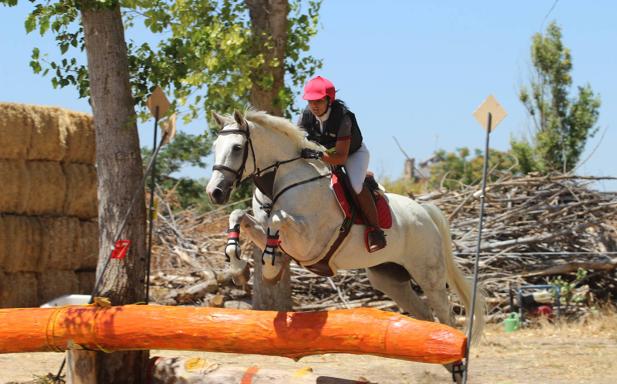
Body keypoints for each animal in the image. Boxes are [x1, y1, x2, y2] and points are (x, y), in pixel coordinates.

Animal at [205, 109, 484, 380]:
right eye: (215, 146)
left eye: (237, 147)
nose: (214, 193)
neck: (280, 181)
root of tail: (425, 210)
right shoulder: (271, 235)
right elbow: (238, 216)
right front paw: (239, 269)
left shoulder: (308, 241)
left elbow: (276, 219)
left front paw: (271, 268)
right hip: (390, 280)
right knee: (425, 316)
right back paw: (444, 363)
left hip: (429, 275)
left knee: (447, 317)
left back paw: (457, 367)